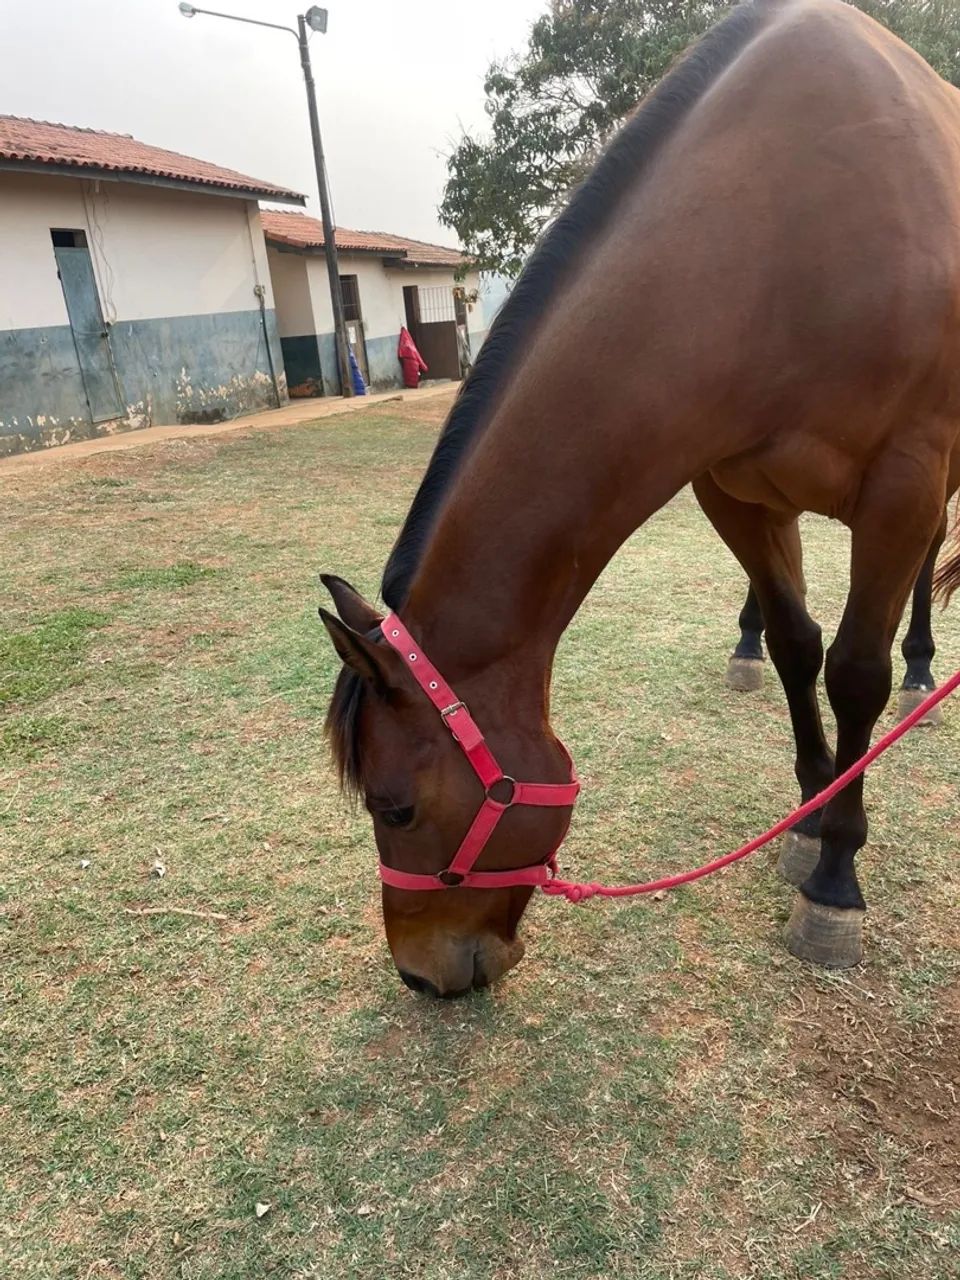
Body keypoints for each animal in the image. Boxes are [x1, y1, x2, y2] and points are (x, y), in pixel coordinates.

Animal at [321, 0, 960, 997]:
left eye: (395, 810)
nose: (421, 976)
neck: (789, 232)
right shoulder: (732, 492)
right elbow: (796, 646)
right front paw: (808, 815)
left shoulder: (905, 483)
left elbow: (856, 670)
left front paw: (834, 879)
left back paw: (927, 670)